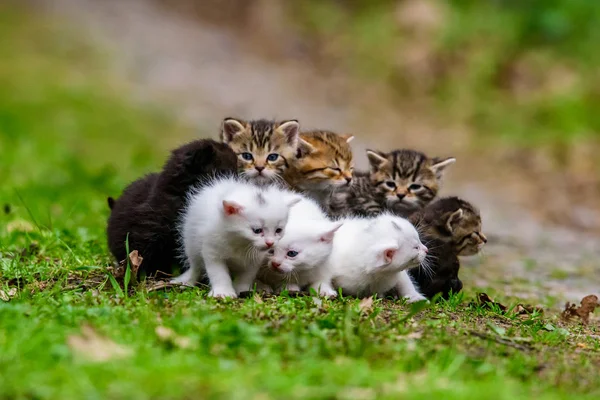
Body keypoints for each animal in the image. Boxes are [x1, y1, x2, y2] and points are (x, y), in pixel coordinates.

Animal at [172, 177, 302, 296]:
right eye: (257, 230)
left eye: (278, 230)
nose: (270, 243)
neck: (240, 241)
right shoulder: (212, 251)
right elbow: (218, 274)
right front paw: (223, 292)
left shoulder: (254, 259)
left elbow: (247, 276)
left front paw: (242, 290)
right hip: (190, 240)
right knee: (195, 265)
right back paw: (187, 280)